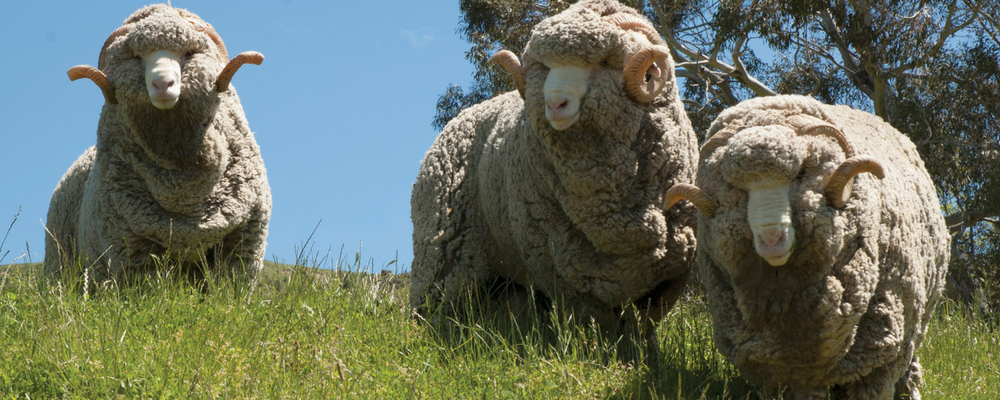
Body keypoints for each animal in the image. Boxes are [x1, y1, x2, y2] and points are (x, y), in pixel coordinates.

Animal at [45, 4, 272, 282]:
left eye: (188, 52)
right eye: (137, 56)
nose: (163, 83)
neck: (184, 194)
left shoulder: (242, 246)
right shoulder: (131, 251)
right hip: (63, 266)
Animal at [410, 0, 700, 350]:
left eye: (604, 62)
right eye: (546, 66)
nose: (555, 103)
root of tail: (459, 118)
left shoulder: (669, 273)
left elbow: (641, 330)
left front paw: (642, 357)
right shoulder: (560, 271)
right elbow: (595, 329)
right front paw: (600, 356)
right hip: (443, 254)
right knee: (430, 309)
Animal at [668, 95, 948, 398]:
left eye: (800, 173)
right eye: (737, 188)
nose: (770, 239)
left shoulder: (880, 356)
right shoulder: (782, 371)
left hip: (916, 322)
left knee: (909, 367)